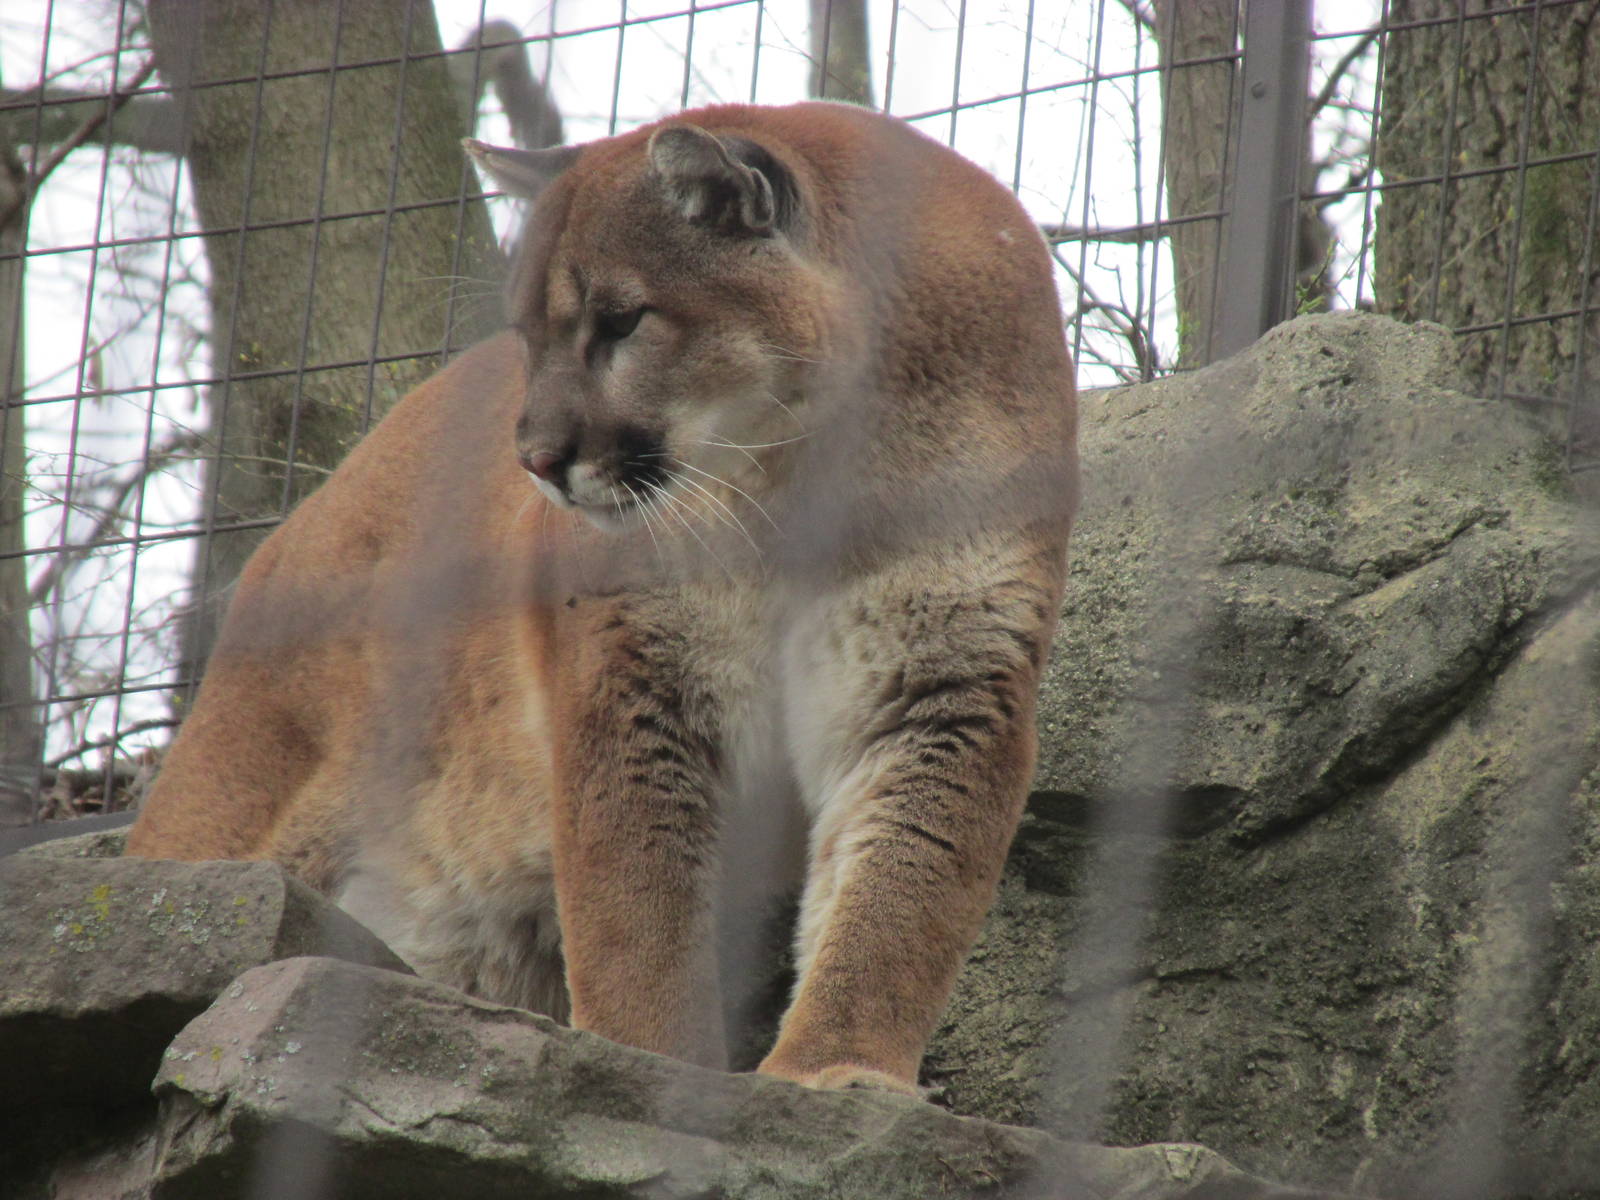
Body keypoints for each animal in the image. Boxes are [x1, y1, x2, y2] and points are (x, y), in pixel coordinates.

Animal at [127, 101, 1078, 1094]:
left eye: (621, 322)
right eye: (526, 338)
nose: (535, 458)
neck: (801, 483)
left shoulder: (943, 681)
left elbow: (903, 891)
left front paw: (837, 1069)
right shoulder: (629, 679)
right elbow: (637, 910)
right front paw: (650, 1069)